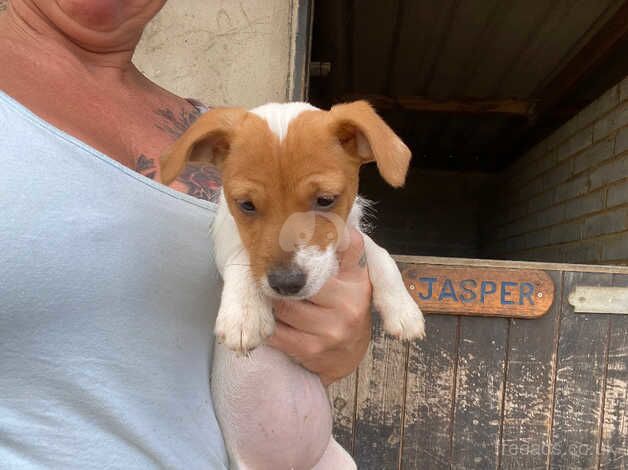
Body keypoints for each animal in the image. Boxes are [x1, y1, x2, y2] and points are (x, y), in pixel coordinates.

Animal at [162, 101, 426, 468]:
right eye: (246, 205)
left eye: (326, 200)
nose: (286, 284)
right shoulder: (226, 239)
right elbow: (242, 258)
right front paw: (245, 314)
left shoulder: (351, 236)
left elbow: (380, 253)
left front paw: (403, 310)